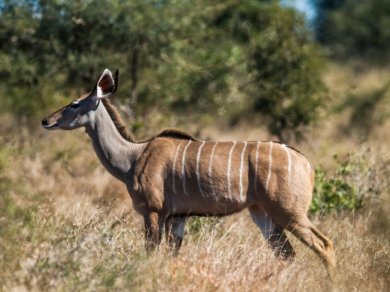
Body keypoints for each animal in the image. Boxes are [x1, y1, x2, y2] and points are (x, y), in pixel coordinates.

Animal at [42, 68, 336, 278]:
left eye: (74, 103)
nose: (46, 120)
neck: (133, 156)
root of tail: (305, 163)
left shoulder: (153, 212)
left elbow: (150, 253)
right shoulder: (178, 218)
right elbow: (171, 255)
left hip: (289, 212)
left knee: (324, 246)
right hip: (263, 215)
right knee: (288, 254)